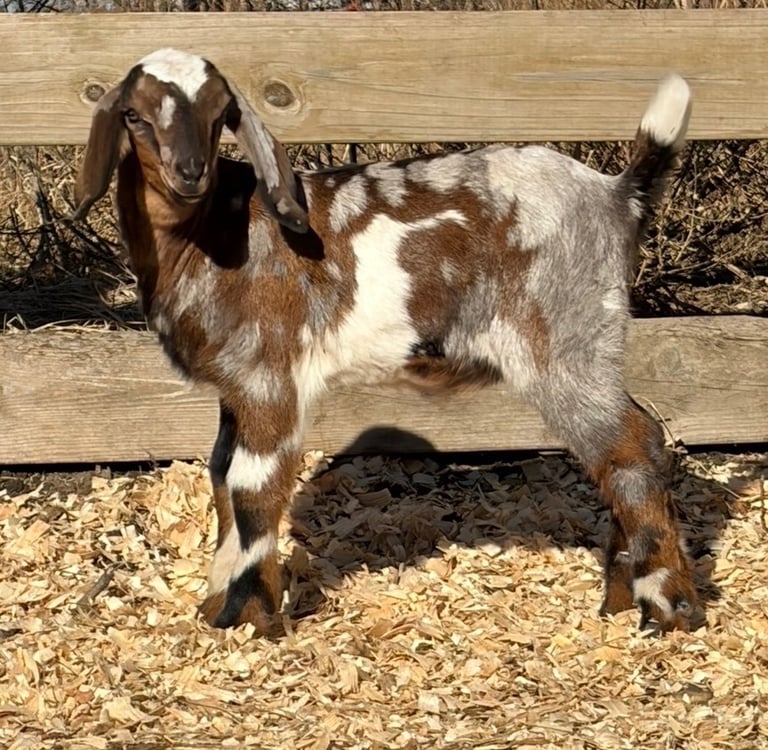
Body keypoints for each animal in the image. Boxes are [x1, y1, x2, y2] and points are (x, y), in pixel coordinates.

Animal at [74, 48, 696, 634]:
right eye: (133, 114)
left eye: (219, 112)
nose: (190, 173)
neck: (210, 235)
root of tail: (618, 195)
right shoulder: (234, 383)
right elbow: (221, 473)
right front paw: (215, 604)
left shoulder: (268, 373)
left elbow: (253, 485)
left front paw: (248, 615)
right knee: (625, 445)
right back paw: (620, 598)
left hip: (566, 337)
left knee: (633, 444)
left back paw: (667, 606)